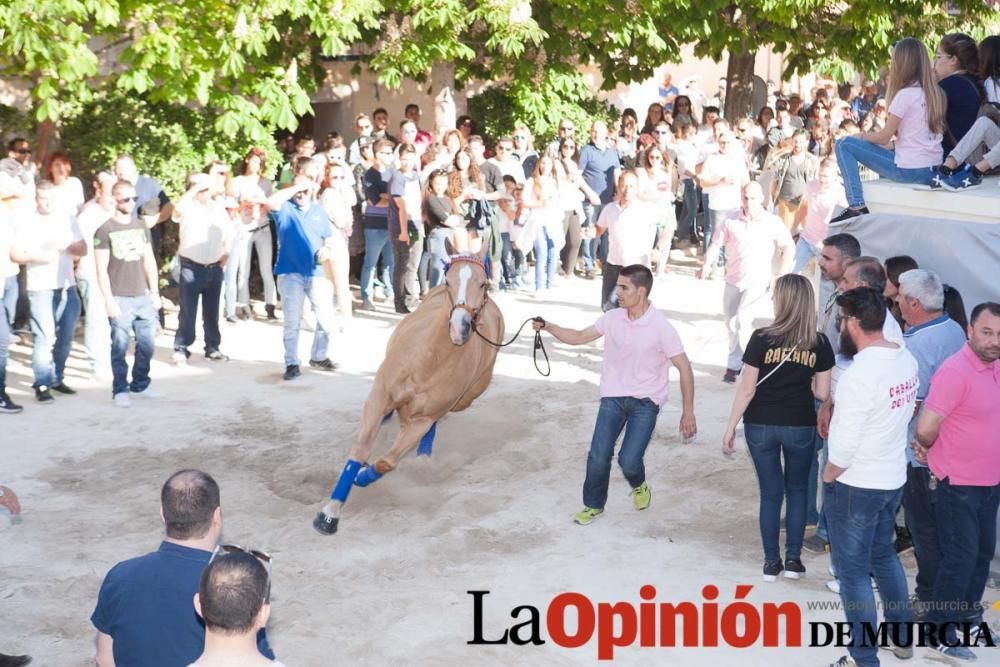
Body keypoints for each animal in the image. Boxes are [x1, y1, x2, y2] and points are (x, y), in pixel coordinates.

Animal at [314, 240, 504, 536]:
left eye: (483, 283)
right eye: (448, 281)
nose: (459, 328)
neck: (427, 361)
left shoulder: (421, 420)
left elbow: (387, 462)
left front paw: (362, 476)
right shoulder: (380, 395)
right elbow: (361, 450)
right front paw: (330, 514)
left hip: (463, 401)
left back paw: (422, 456)